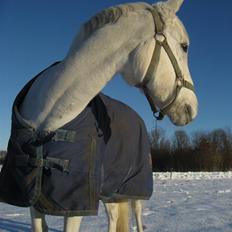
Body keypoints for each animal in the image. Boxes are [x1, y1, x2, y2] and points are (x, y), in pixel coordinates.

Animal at [17, 0, 198, 230]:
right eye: (185, 46)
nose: (192, 108)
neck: (47, 116)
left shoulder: (75, 205)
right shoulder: (34, 200)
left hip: (133, 189)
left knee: (136, 217)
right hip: (110, 192)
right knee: (113, 218)